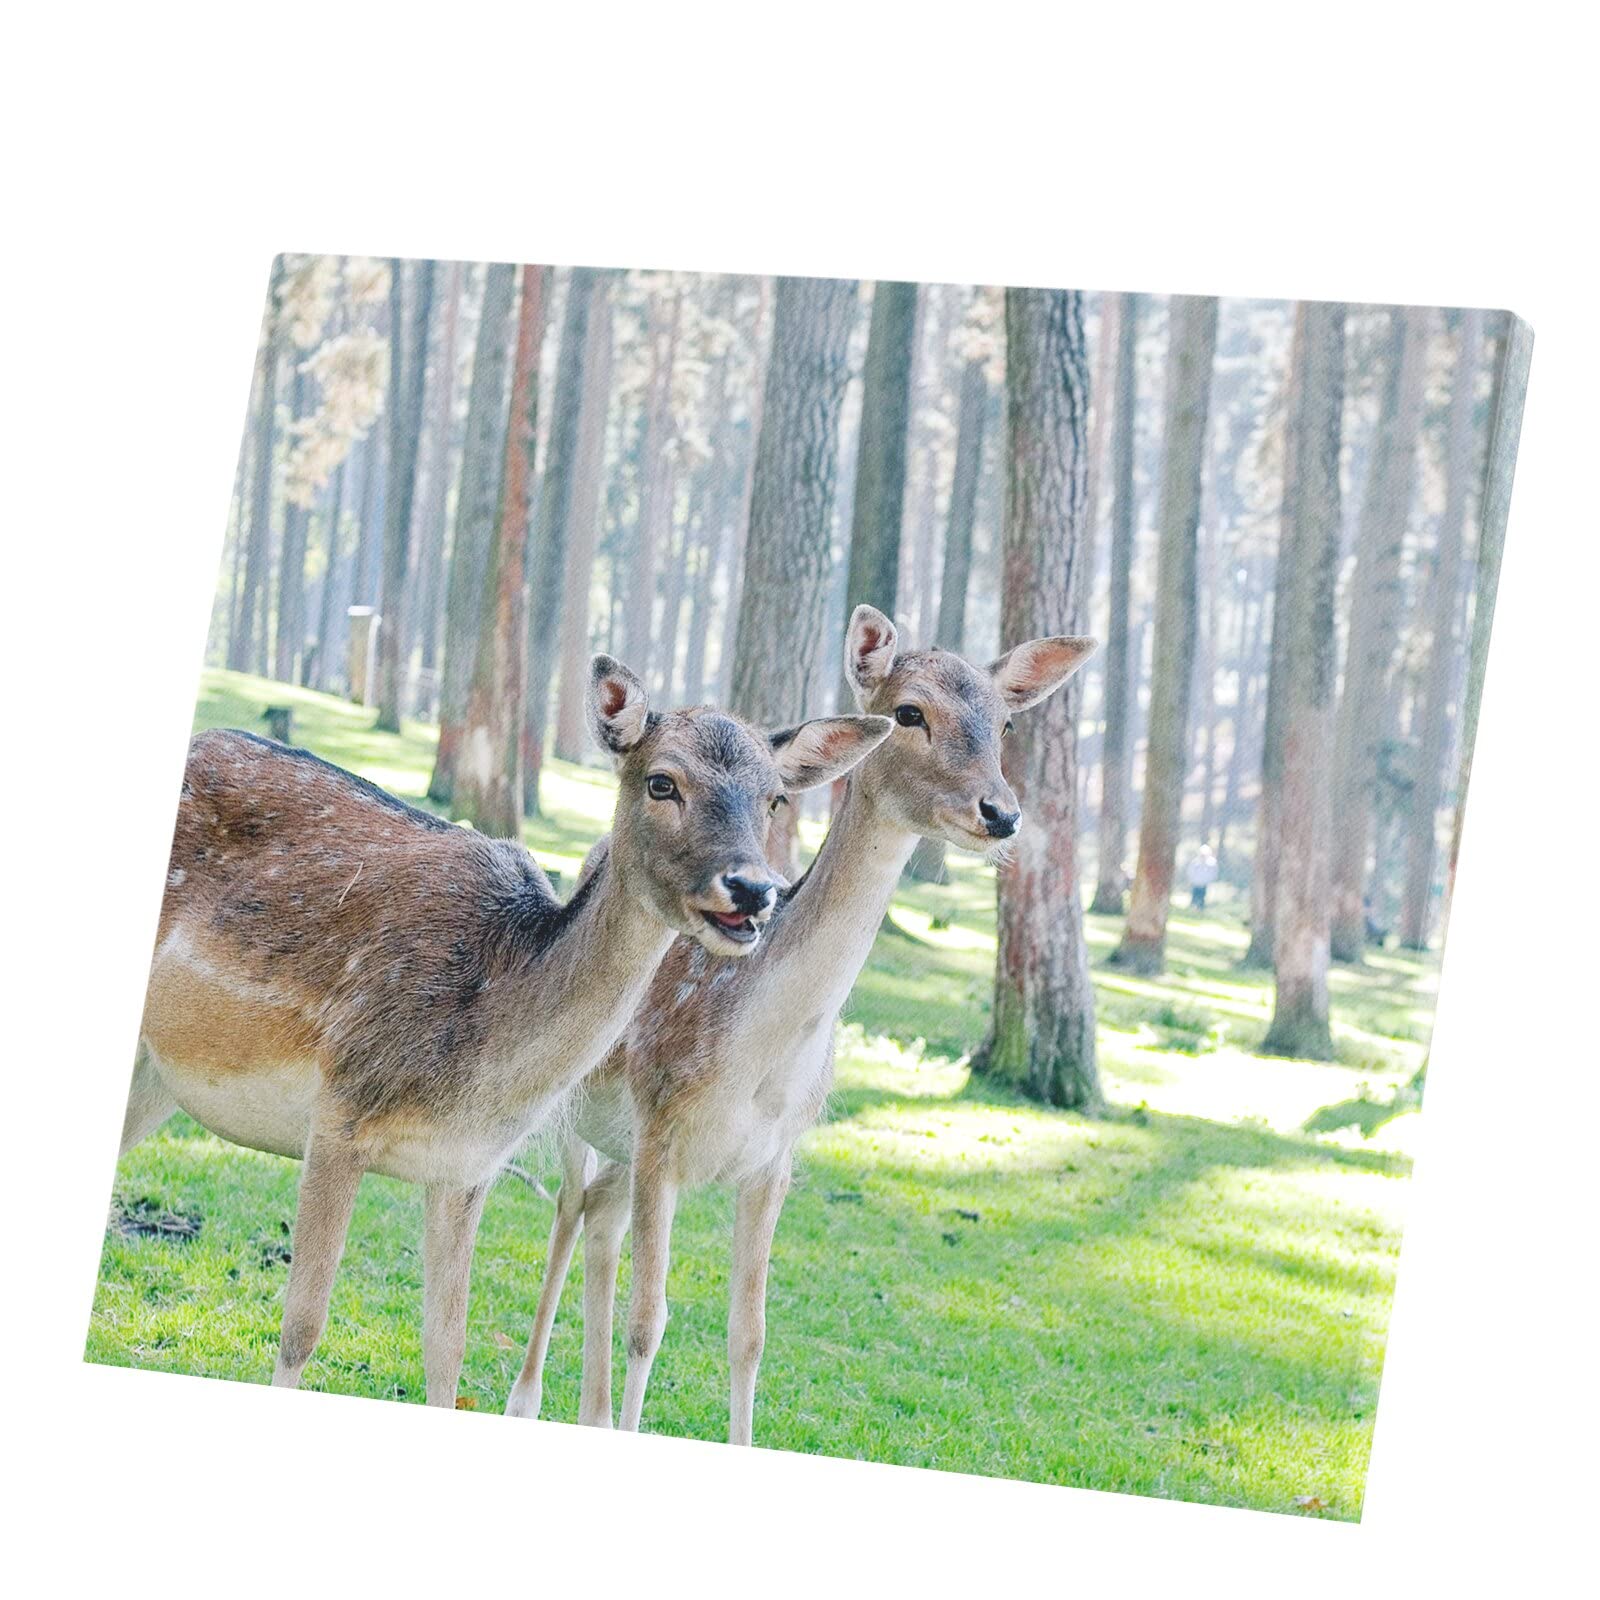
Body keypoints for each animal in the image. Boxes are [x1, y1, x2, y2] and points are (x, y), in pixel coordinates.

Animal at [116, 654, 890, 1407]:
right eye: (662, 782)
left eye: (775, 798)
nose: (754, 889)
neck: (480, 1064)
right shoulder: (338, 1111)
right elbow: (301, 1329)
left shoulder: (466, 1170)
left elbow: (446, 1354)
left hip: (158, 1074)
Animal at [504, 607, 1095, 1442]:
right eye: (909, 713)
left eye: (1006, 722)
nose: (1001, 813)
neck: (757, 1063)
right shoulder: (661, 1134)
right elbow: (649, 1324)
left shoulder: (772, 1161)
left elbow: (748, 1336)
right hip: (576, 1104)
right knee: (565, 1212)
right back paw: (524, 1400)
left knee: (598, 1223)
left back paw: (590, 1416)